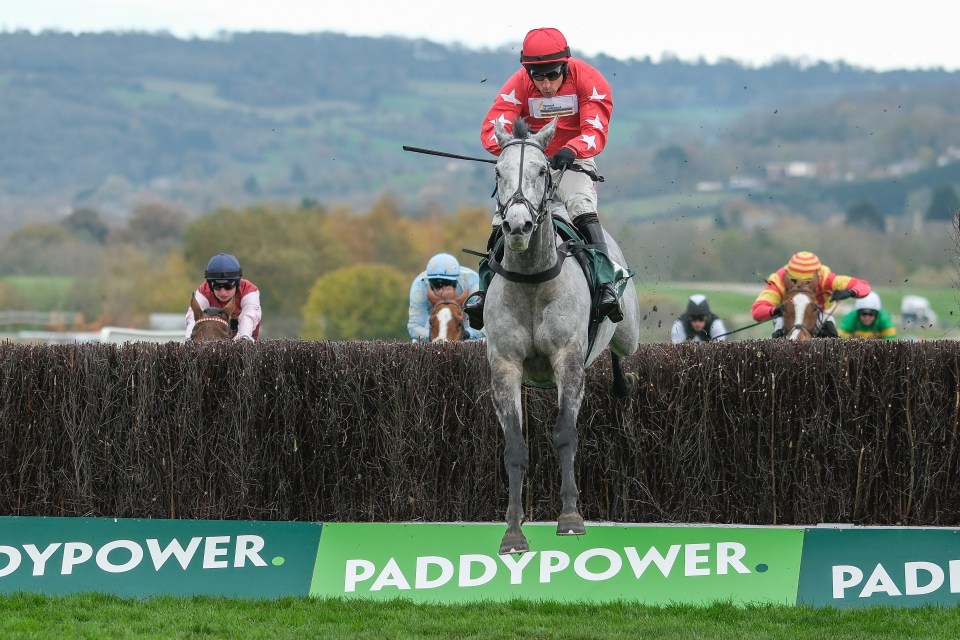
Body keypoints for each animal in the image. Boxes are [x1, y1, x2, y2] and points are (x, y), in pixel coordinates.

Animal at [488, 116, 636, 556]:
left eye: (542, 170)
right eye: (497, 172)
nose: (517, 225)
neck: (532, 280)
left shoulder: (568, 360)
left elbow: (565, 435)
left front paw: (570, 518)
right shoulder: (504, 365)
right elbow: (515, 448)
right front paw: (513, 532)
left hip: (630, 333)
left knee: (622, 349)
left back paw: (623, 378)